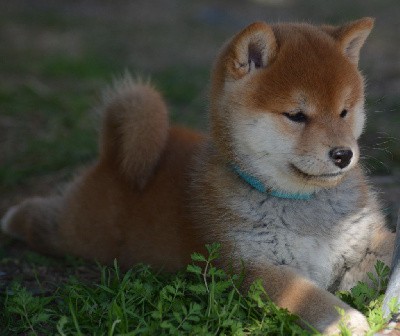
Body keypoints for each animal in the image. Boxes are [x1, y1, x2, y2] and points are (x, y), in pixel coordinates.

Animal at [0, 17, 396, 334]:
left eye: (344, 111)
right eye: (296, 115)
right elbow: (308, 296)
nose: (344, 155)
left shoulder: (365, 242)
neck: (303, 205)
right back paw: (14, 217)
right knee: (41, 222)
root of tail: (112, 158)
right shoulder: (252, 268)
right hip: (77, 233)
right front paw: (348, 321)